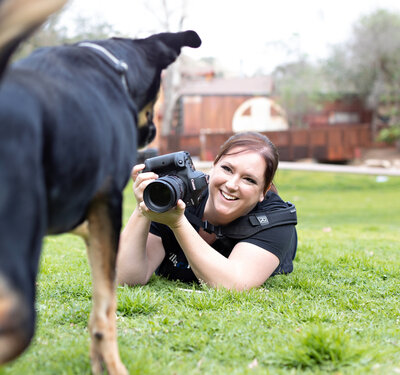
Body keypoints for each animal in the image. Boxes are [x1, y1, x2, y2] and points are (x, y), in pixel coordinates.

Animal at [0, 0, 200, 374]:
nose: (152, 132)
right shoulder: (107, 207)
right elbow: (106, 311)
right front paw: (113, 366)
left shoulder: (86, 220)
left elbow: (97, 313)